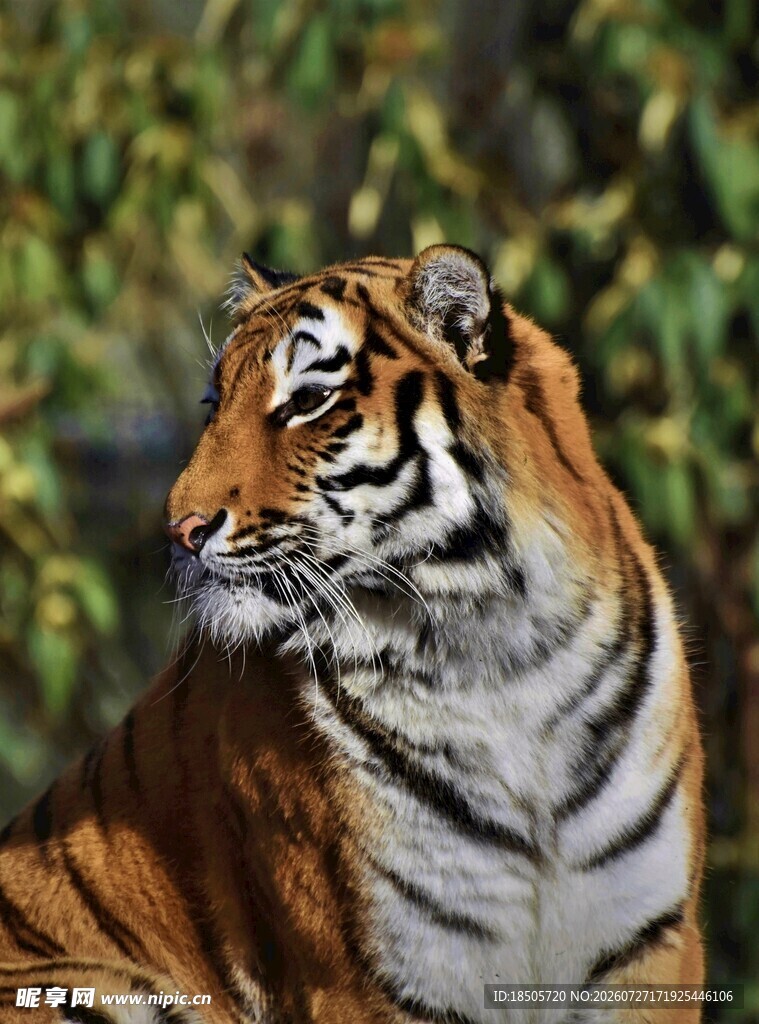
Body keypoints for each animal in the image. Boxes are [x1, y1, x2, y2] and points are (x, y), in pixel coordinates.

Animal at [0, 245, 705, 1024]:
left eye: (307, 400)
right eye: (214, 403)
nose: (178, 529)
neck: (496, 652)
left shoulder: (652, 943)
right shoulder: (366, 974)